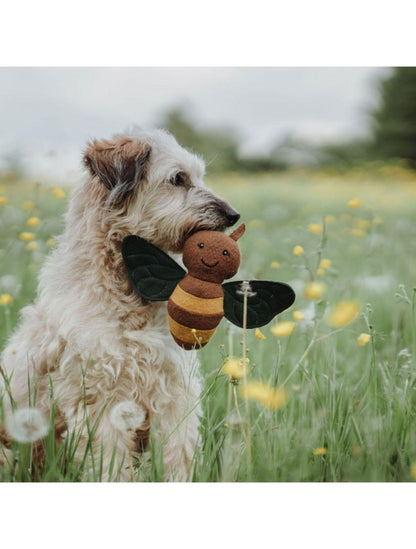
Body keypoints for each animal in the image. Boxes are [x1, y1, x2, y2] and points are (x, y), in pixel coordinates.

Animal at [0, 130, 239, 480]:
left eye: (198, 175)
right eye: (178, 178)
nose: (233, 214)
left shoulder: (174, 393)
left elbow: (177, 453)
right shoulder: (103, 399)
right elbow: (110, 462)